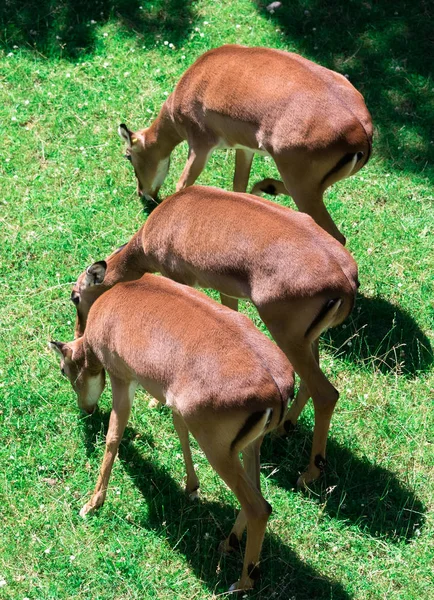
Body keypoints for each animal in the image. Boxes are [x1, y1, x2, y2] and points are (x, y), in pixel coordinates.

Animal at [50, 274, 296, 592]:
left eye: (63, 370)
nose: (86, 409)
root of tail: (277, 388)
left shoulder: (122, 379)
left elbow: (113, 437)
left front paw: (92, 504)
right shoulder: (174, 405)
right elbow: (180, 433)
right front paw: (191, 487)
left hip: (219, 453)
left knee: (260, 508)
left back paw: (241, 584)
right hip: (249, 447)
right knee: (256, 493)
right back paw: (227, 543)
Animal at [69, 185, 358, 486]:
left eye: (75, 296)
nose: (79, 333)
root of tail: (346, 282)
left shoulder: (180, 278)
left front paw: (155, 399)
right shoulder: (227, 293)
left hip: (287, 338)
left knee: (326, 393)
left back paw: (309, 473)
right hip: (305, 340)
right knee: (311, 383)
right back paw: (285, 429)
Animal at [118, 42, 372, 245]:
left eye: (128, 156)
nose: (142, 193)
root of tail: (361, 134)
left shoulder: (200, 146)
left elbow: (182, 185)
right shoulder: (244, 149)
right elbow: (238, 185)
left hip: (301, 186)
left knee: (337, 235)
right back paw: (264, 188)